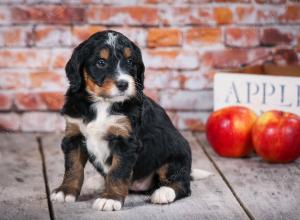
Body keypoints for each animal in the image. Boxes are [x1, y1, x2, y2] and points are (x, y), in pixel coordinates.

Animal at [51, 30, 211, 211]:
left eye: (130, 61)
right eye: (101, 62)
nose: (123, 84)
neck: (103, 103)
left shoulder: (125, 141)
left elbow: (117, 172)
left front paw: (110, 198)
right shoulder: (74, 135)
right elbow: (73, 168)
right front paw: (65, 191)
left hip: (175, 155)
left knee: (182, 184)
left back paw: (164, 193)